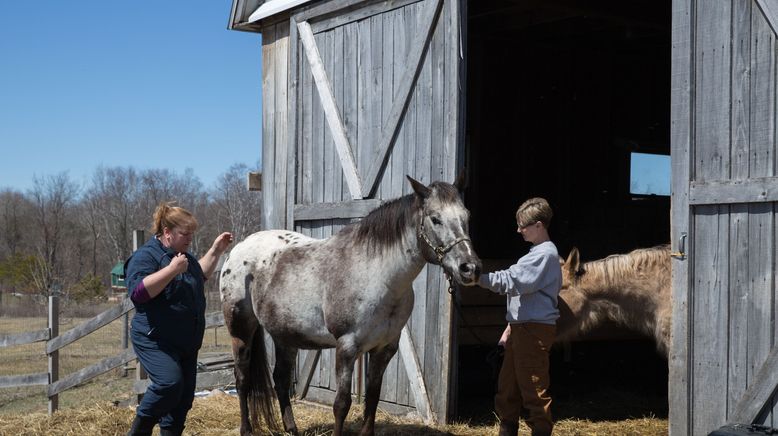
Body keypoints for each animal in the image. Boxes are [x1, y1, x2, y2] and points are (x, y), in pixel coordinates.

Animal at [218, 175, 478, 434]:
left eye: (467, 216)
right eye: (435, 219)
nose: (470, 268)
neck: (376, 275)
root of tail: (238, 249)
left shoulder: (385, 348)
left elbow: (372, 399)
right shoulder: (347, 347)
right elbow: (341, 404)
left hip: (286, 336)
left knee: (280, 380)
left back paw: (292, 429)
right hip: (240, 330)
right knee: (242, 379)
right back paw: (246, 429)